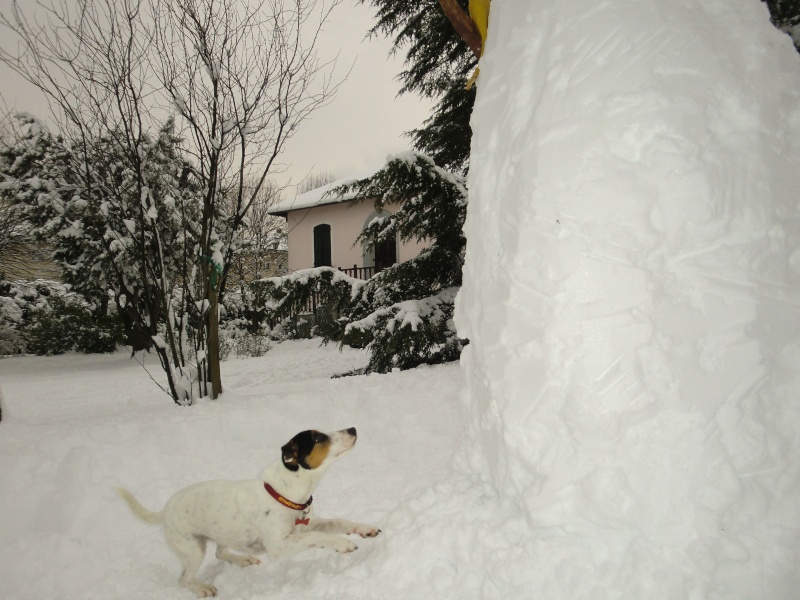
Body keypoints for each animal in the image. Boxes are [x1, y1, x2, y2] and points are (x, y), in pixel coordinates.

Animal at [115, 426, 382, 596]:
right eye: (318, 438)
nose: (352, 429)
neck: (285, 493)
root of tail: (164, 510)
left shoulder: (309, 524)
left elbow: (339, 522)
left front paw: (364, 529)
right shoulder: (280, 545)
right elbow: (319, 536)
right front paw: (342, 544)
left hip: (221, 533)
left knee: (221, 552)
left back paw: (242, 558)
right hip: (192, 549)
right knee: (184, 579)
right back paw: (202, 588)